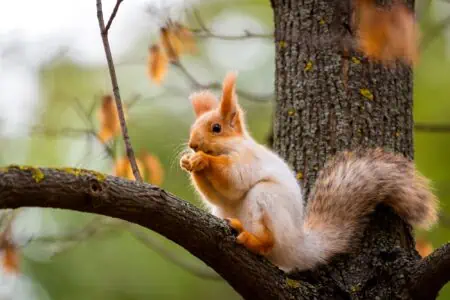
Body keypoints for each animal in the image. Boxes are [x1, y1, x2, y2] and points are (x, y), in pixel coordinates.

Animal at [180, 72, 440, 272]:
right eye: (192, 128)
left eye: (216, 128)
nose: (192, 144)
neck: (229, 147)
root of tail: (298, 246)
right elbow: (217, 195)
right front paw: (188, 162)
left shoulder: (248, 159)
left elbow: (234, 180)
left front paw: (203, 160)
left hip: (266, 200)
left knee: (269, 243)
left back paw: (252, 238)